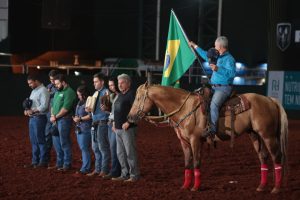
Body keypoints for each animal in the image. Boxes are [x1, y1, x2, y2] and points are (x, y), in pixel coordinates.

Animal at [127, 83, 288, 194]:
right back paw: (261, 187)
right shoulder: (184, 142)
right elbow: (187, 163)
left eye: (139, 98)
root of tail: (270, 100)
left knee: (276, 157)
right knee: (263, 157)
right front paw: (185, 186)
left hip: (268, 135)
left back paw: (276, 189)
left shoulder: (195, 140)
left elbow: (196, 163)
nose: (130, 117)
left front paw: (195, 187)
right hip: (254, 134)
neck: (185, 108)